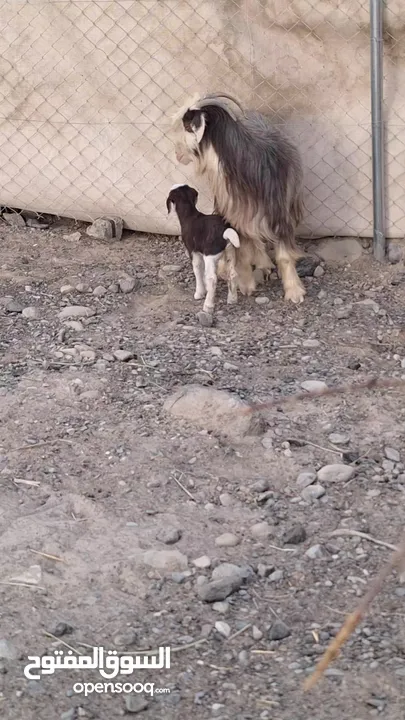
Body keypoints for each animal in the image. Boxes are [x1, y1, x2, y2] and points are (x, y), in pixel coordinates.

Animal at [169, 90, 304, 304]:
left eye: (187, 126)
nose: (177, 153)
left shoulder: (279, 212)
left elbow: (283, 255)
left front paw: (294, 291)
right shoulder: (235, 215)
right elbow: (242, 253)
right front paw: (246, 285)